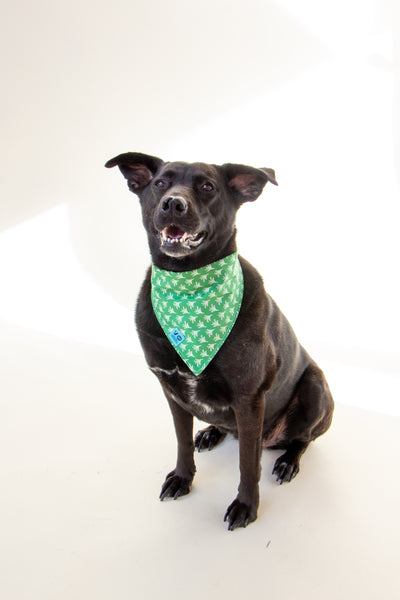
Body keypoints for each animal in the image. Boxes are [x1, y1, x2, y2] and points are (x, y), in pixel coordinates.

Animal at [105, 154, 334, 528]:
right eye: (160, 183)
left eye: (207, 187)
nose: (173, 204)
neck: (188, 286)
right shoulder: (171, 390)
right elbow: (182, 441)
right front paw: (182, 478)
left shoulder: (249, 397)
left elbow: (247, 463)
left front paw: (246, 505)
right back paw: (211, 432)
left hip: (314, 388)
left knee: (303, 438)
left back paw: (288, 461)